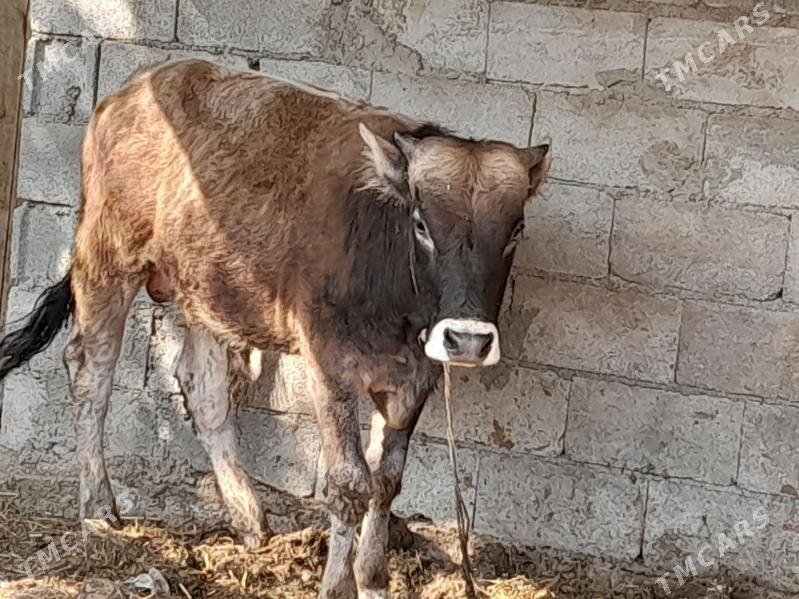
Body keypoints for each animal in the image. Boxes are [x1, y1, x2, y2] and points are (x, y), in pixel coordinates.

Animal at [0, 59, 550, 598]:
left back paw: (247, 516)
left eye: (516, 230)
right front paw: (336, 586)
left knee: (203, 388)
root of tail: (132, 89)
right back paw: (98, 507)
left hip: (204, 287)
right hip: (107, 257)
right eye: (420, 223)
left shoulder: (416, 378)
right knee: (91, 372)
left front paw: (372, 579)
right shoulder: (329, 362)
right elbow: (349, 482)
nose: (468, 339)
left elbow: (387, 481)